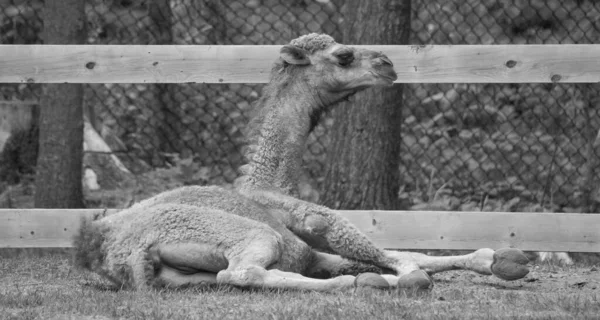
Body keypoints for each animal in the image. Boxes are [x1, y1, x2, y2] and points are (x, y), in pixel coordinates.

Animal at [72, 33, 528, 292]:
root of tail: (114, 253)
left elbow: (406, 252)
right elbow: (395, 254)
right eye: (343, 56)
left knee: (228, 278)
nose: (388, 64)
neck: (268, 184)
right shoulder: (317, 220)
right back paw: (366, 282)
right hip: (254, 236)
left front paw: (500, 260)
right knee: (241, 274)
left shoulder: (311, 252)